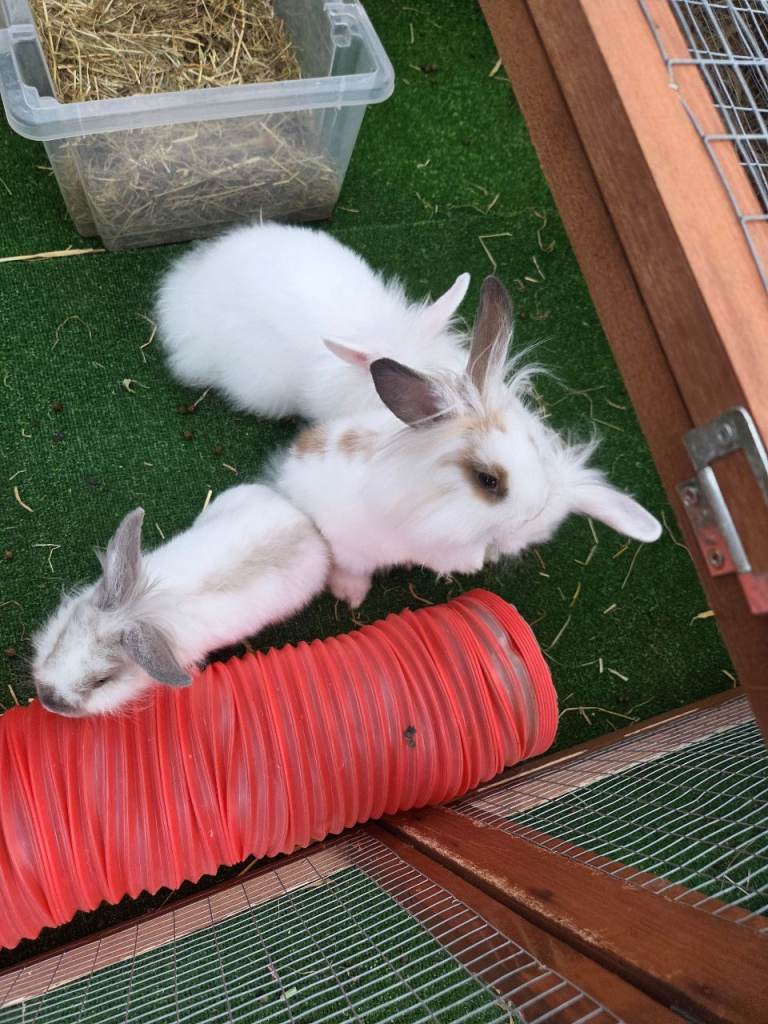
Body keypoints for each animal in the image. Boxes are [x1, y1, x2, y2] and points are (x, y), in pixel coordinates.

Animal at [273, 276, 662, 608]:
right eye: (488, 480)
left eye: (534, 449)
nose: (530, 512)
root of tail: (290, 467)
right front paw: (475, 563)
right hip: (349, 546)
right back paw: (352, 593)